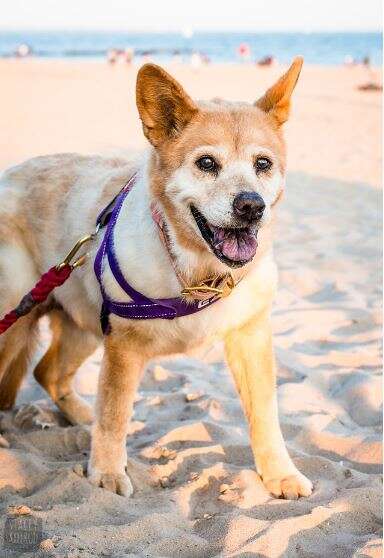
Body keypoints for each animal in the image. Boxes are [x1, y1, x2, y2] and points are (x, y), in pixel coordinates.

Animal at [0, 59, 312, 500]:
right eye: (207, 164)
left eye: (262, 164)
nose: (252, 206)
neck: (197, 274)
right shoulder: (124, 347)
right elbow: (114, 414)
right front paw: (107, 473)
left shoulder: (250, 337)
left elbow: (266, 416)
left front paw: (279, 473)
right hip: (16, 320)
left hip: (86, 324)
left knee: (49, 372)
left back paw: (81, 418)